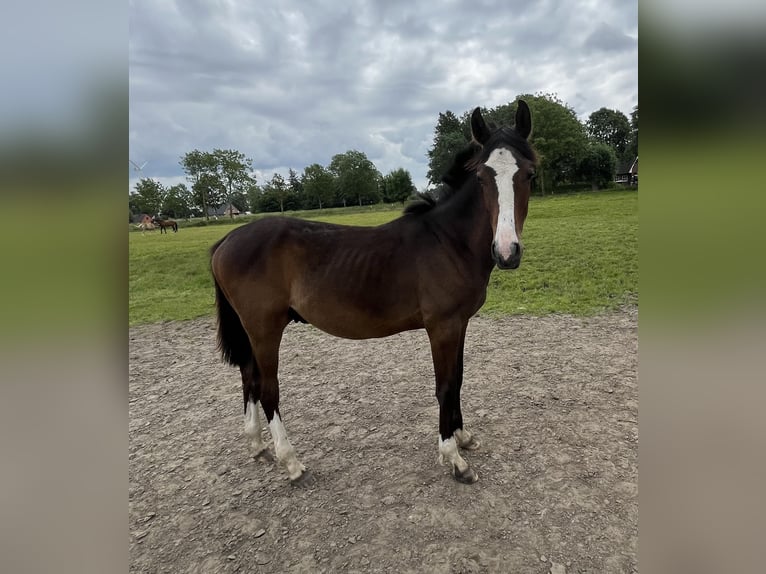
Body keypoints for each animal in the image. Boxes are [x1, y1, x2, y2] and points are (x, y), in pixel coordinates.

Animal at [210, 103, 540, 486]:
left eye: (529, 175)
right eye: (483, 178)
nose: (506, 252)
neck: (448, 241)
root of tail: (227, 239)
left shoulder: (459, 324)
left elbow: (457, 380)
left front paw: (463, 437)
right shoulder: (442, 327)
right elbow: (445, 385)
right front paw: (454, 459)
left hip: (253, 330)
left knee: (248, 377)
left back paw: (257, 445)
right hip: (265, 329)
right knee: (266, 388)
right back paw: (290, 462)